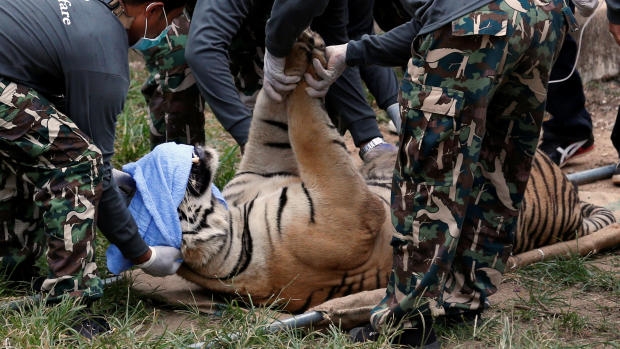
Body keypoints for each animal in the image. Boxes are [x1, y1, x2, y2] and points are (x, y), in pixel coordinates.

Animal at [174, 28, 616, 312]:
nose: (189, 148)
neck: (234, 223)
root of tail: (572, 197)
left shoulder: (262, 167)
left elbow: (275, 109)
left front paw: (296, 51)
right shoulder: (348, 210)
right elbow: (311, 130)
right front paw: (310, 57)